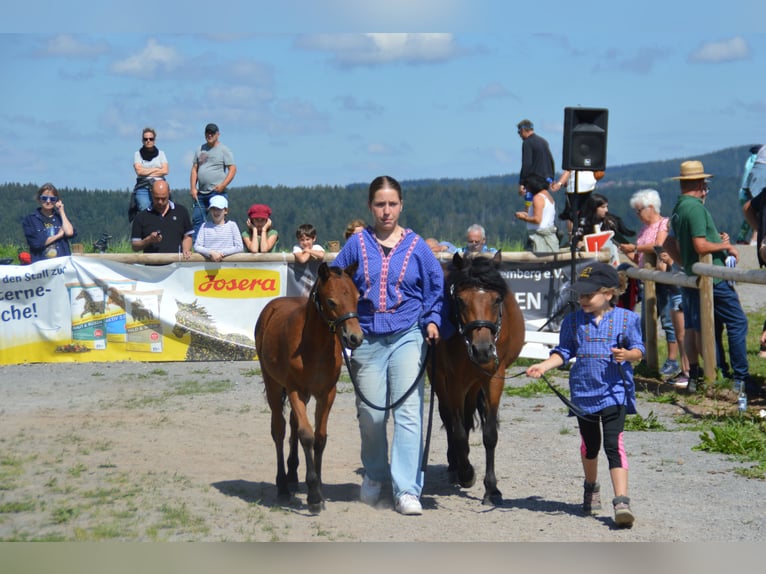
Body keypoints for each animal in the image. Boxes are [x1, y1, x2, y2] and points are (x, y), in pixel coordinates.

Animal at [256, 264, 364, 516]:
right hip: (273, 384)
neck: (313, 347)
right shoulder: (294, 390)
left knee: (293, 424)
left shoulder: (326, 393)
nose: (355, 338)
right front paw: (313, 496)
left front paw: (320, 490)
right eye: (331, 301)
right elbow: (306, 435)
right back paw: (282, 485)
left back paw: (293, 476)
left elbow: (319, 438)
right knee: (279, 429)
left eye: (357, 297)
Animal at [432, 254, 528, 506]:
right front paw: (466, 473)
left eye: (497, 300)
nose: (483, 350)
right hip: (439, 378)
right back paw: (455, 466)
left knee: (466, 417)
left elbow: (489, 434)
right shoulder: (454, 381)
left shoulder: (493, 378)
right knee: (449, 417)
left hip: (474, 383)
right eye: (460, 300)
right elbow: (457, 431)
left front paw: (492, 489)